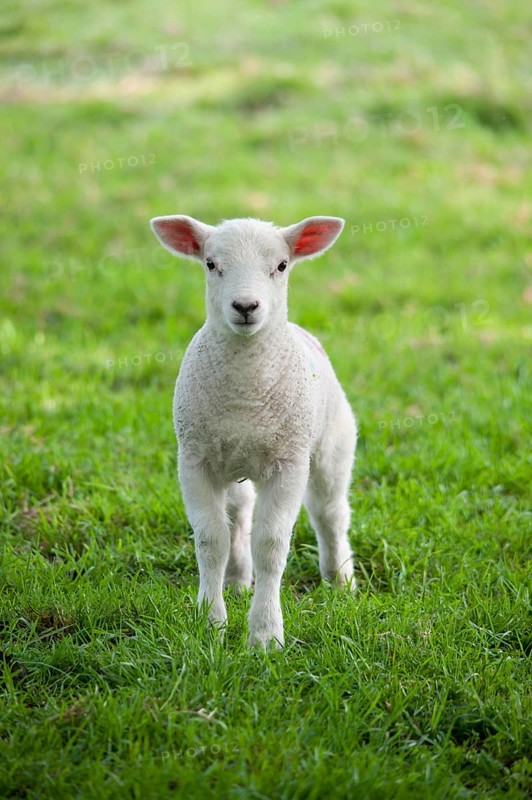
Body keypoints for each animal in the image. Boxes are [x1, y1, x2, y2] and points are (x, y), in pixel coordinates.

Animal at [150, 214, 358, 648]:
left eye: (281, 265)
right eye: (211, 264)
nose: (245, 306)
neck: (245, 398)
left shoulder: (289, 463)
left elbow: (272, 544)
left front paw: (265, 635)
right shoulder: (194, 460)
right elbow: (211, 540)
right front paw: (210, 623)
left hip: (332, 446)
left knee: (330, 512)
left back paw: (340, 578)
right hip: (233, 461)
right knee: (239, 515)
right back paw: (236, 579)